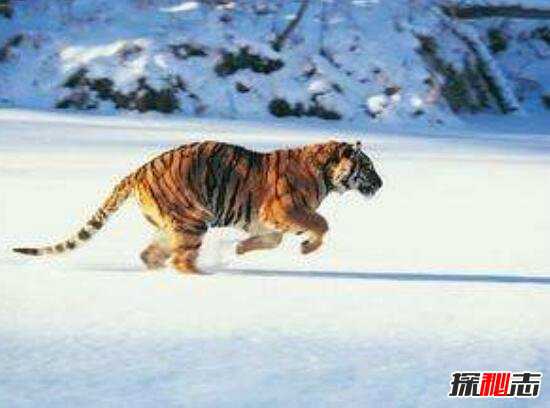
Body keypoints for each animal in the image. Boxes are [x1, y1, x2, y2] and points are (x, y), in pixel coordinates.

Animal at [13, 140, 383, 274]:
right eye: (367, 166)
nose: (380, 184)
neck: (326, 174)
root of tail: (137, 171)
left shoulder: (267, 220)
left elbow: (274, 239)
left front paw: (241, 249)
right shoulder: (283, 210)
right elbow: (322, 223)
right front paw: (307, 247)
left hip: (172, 225)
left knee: (150, 254)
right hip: (193, 220)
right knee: (180, 260)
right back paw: (203, 277)